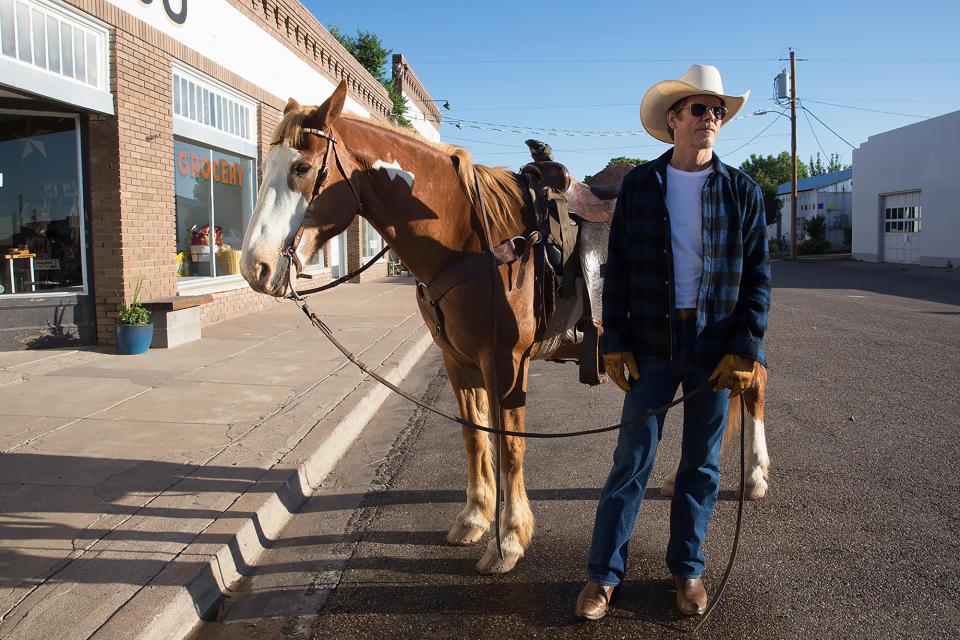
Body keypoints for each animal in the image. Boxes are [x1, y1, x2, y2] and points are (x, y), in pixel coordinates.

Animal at [242, 80, 772, 576]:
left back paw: (754, 476)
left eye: (302, 169)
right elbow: (475, 438)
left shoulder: (506, 362)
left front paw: (509, 540)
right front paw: (475, 519)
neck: (465, 237)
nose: (255, 268)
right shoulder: (459, 362)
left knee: (752, 386)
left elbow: (509, 445)